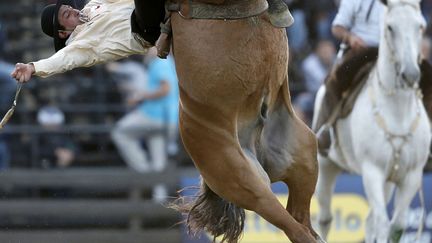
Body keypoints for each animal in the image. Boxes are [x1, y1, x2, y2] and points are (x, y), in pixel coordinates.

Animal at [312, 0, 430, 243]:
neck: (397, 113)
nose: (410, 74)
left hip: (389, 180)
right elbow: (383, 223)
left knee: (370, 220)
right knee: (325, 218)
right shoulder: (372, 171)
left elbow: (396, 225)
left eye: (420, 26)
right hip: (325, 164)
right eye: (390, 27)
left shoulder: (411, 175)